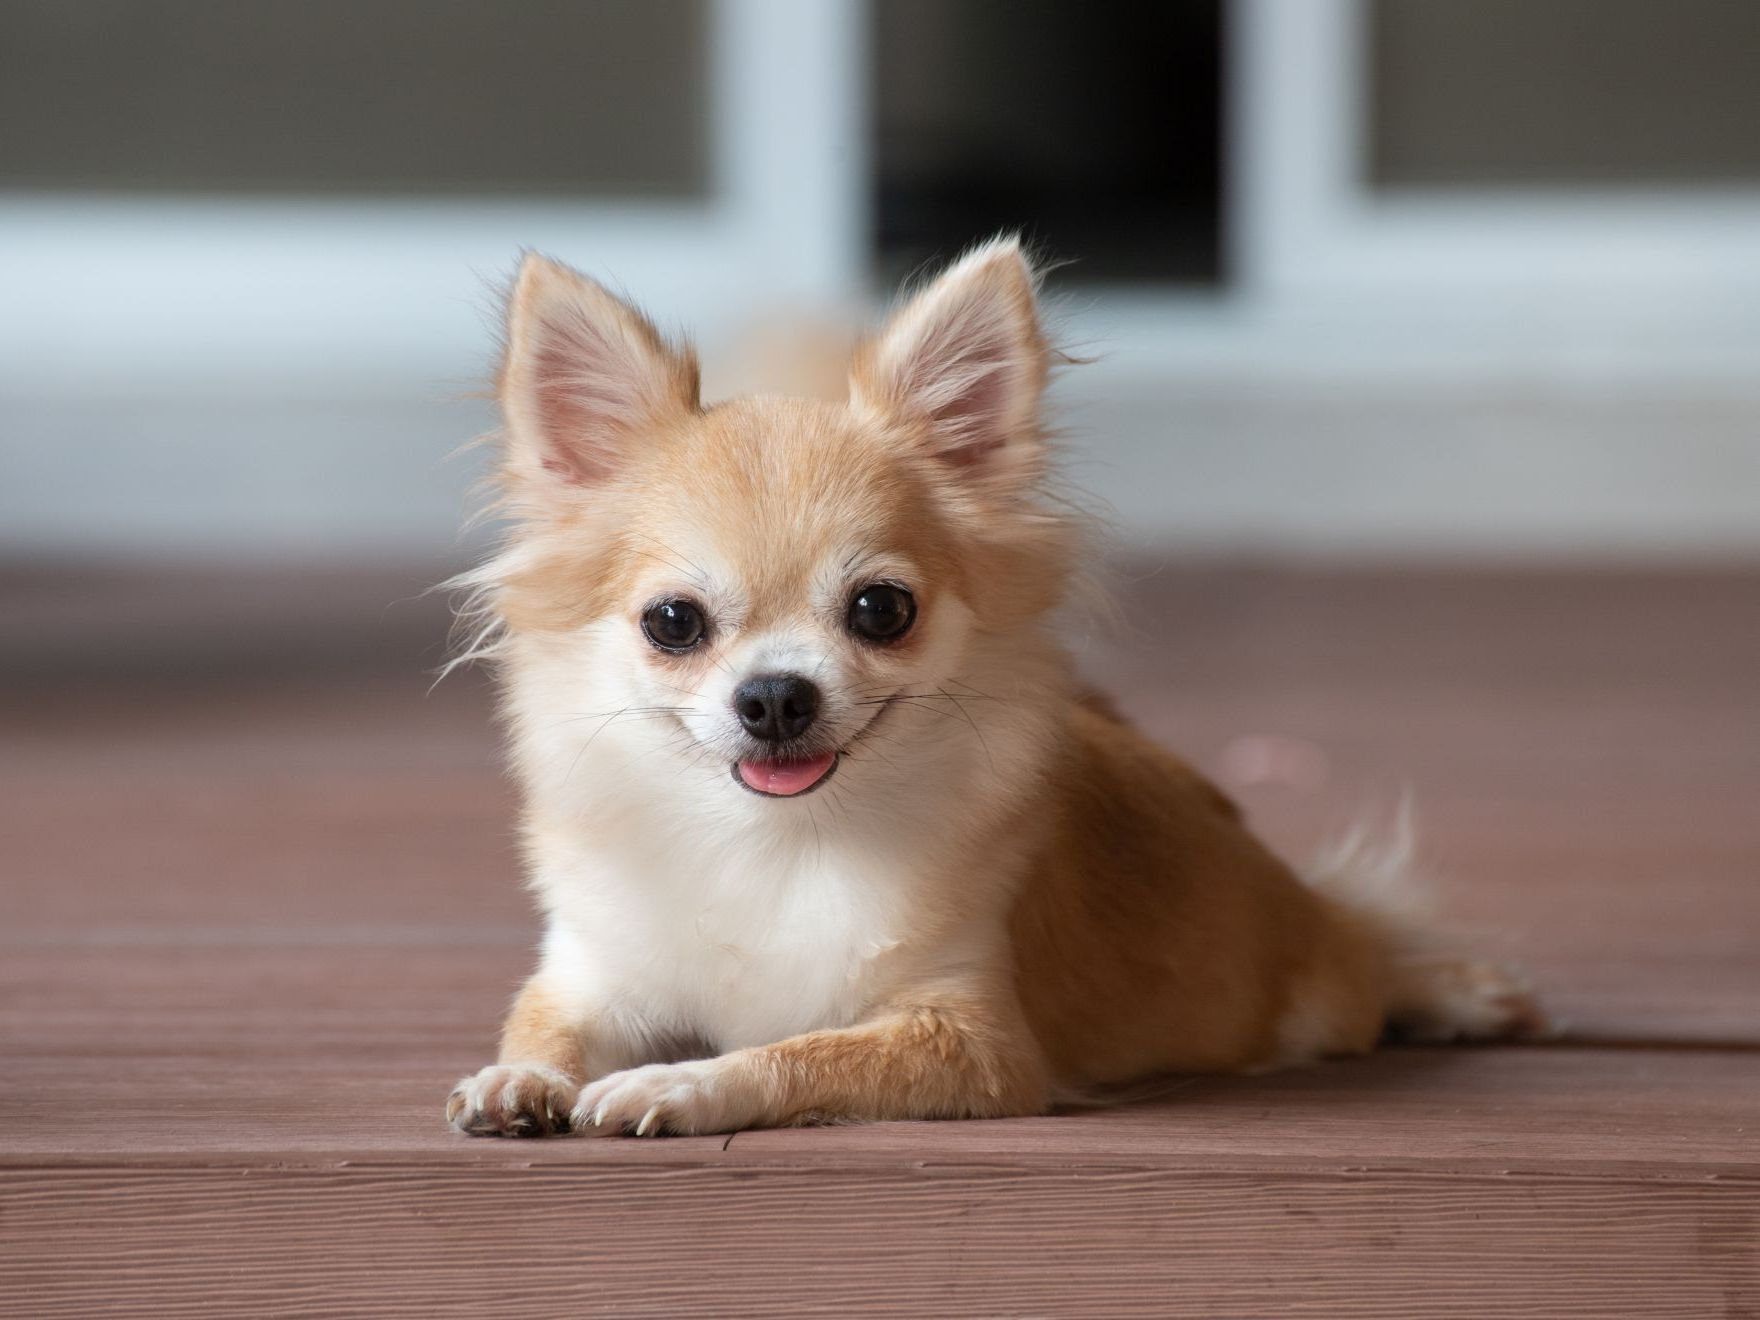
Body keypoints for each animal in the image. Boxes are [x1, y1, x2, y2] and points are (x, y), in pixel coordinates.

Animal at [443, 235, 1541, 1140]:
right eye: (673, 623)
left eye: (880, 609)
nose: (775, 697)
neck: (774, 841)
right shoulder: (591, 977)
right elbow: (540, 1027)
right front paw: (519, 1080)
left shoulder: (970, 1037)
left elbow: (798, 1052)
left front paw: (677, 1083)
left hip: (1307, 981)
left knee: (1361, 953)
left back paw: (1452, 993)